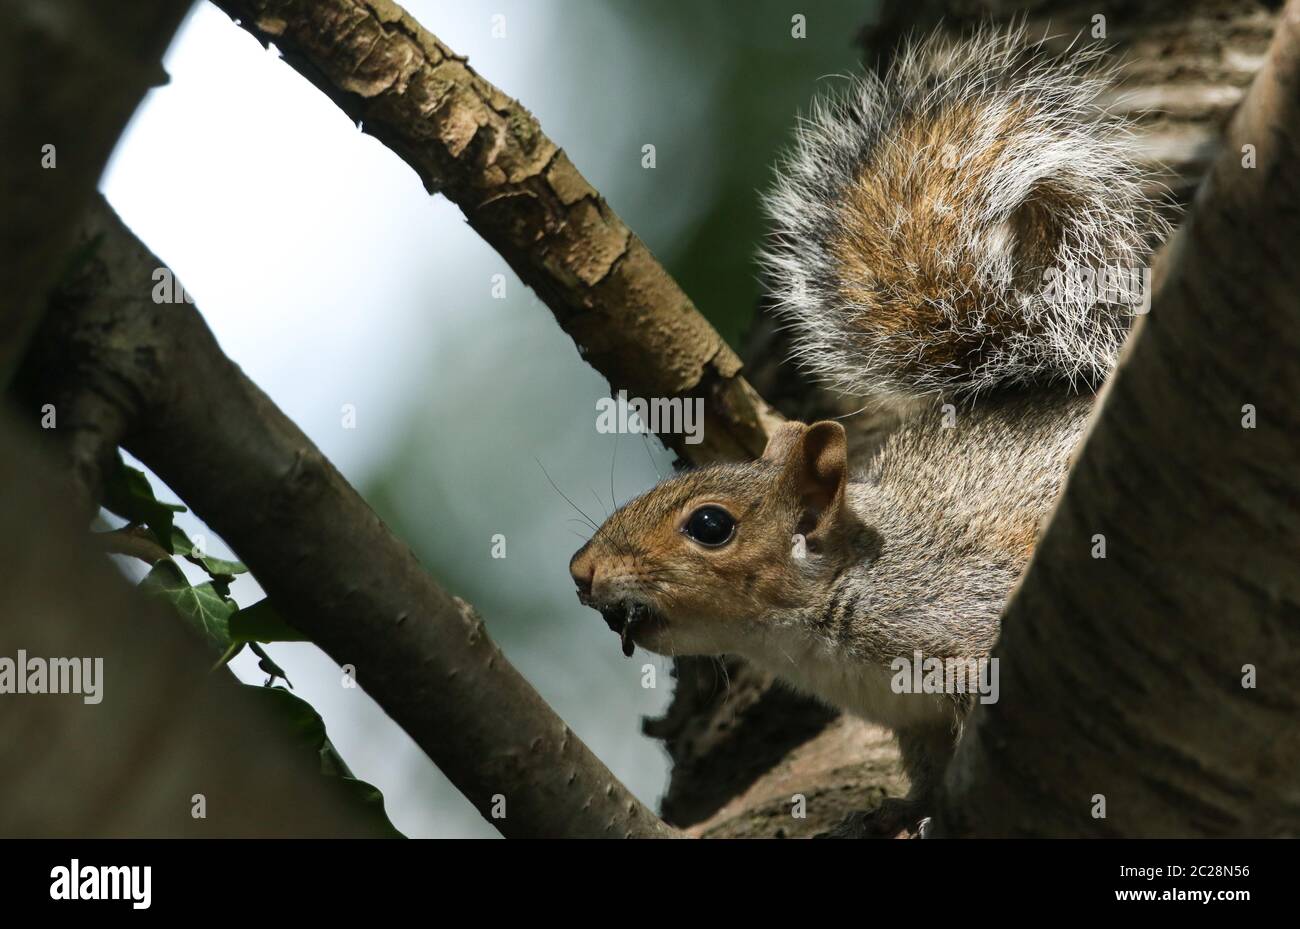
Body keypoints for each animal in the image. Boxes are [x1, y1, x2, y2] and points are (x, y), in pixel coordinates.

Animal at [569, 23, 1170, 836]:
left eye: (710, 525)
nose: (582, 571)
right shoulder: (910, 719)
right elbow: (923, 772)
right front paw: (894, 812)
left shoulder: (959, 622)